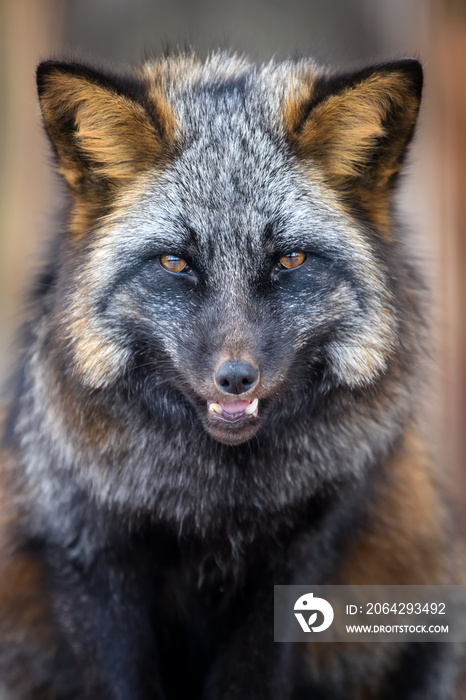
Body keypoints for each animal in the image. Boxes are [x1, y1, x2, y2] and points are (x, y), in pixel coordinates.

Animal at [0, 53, 460, 700]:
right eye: (175, 262)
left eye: (289, 259)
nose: (236, 379)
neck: (216, 507)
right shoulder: (86, 551)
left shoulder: (301, 560)